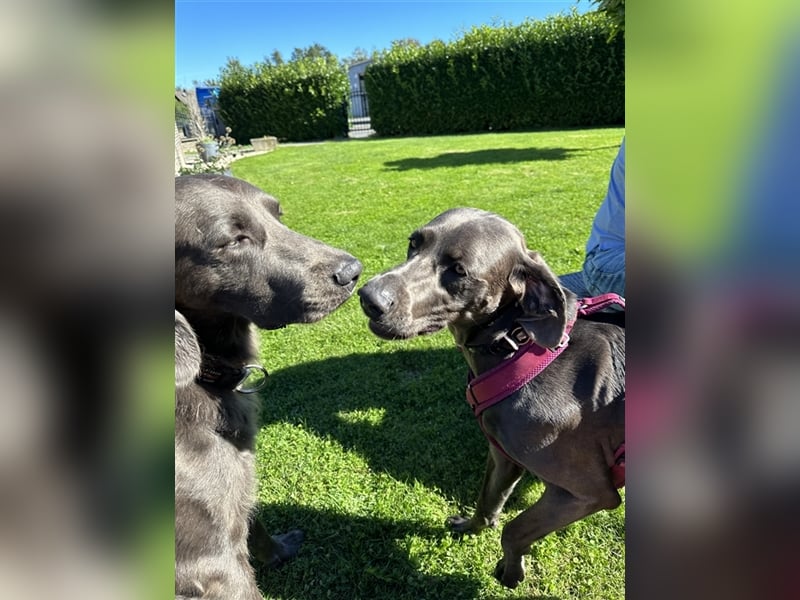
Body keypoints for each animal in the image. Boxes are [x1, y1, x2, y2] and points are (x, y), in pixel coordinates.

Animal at [175, 175, 362, 600]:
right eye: (234, 240)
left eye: (278, 214)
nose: (352, 272)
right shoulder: (209, 562)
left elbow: (252, 519)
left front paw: (279, 550)